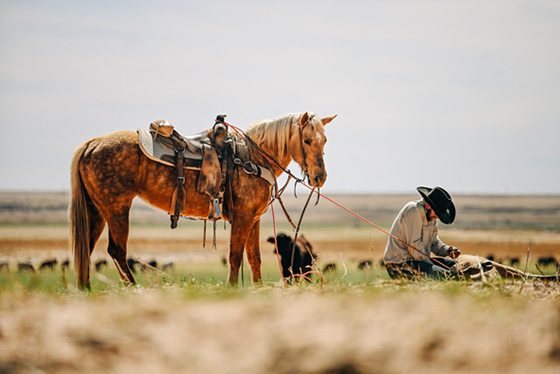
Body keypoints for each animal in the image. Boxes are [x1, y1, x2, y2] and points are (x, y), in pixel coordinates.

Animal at [68, 111, 334, 290]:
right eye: (307, 140)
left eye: (325, 140)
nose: (319, 177)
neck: (252, 158)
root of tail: (91, 144)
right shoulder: (243, 218)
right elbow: (235, 255)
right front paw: (231, 288)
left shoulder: (254, 218)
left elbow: (254, 258)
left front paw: (257, 288)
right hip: (117, 208)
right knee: (117, 250)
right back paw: (133, 288)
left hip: (97, 210)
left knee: (86, 248)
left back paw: (85, 289)